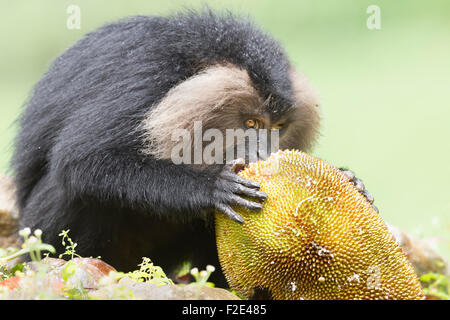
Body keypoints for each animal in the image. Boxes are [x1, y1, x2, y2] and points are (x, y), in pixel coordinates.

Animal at [12, 8, 374, 286]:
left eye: (278, 128)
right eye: (252, 124)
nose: (266, 152)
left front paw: (350, 180)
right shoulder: (148, 74)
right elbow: (84, 158)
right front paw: (212, 188)